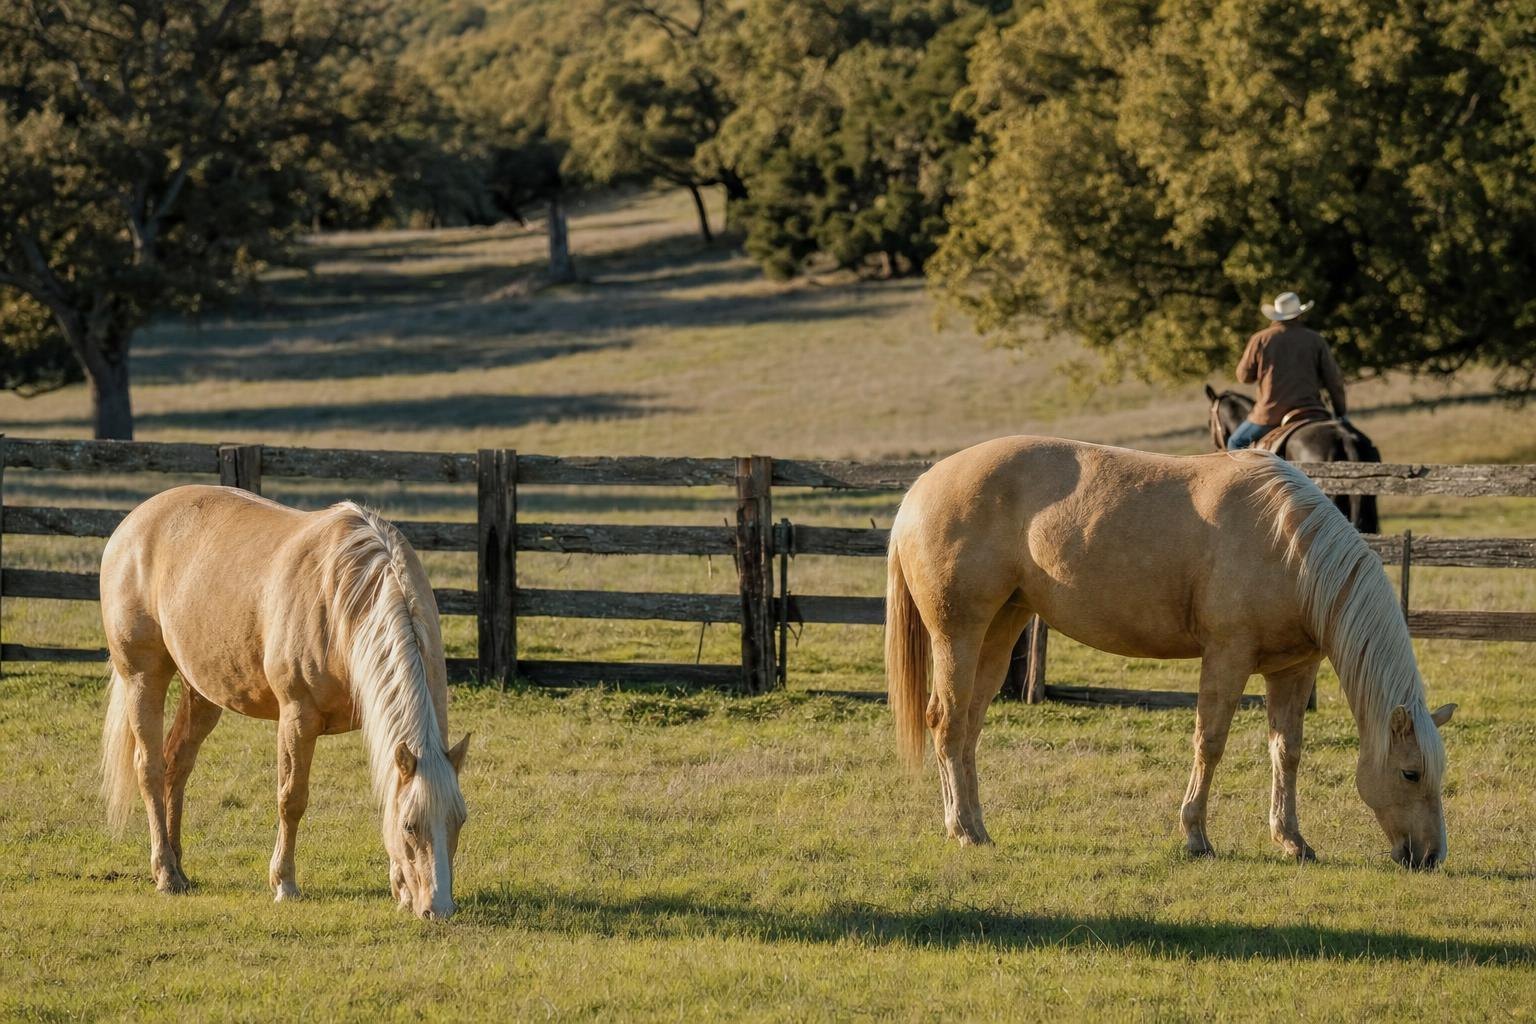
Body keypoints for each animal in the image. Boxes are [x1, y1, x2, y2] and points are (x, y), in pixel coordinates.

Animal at [99, 485, 470, 918]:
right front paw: (284, 883)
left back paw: (179, 866)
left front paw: (400, 889)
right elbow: (291, 799)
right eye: (411, 826)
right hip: (143, 678)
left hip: (201, 692)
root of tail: (133, 522)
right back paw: (165, 874)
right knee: (150, 769)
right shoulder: (296, 719)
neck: (344, 598)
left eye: (459, 820)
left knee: (178, 764)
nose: (439, 907)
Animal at [885, 436, 1455, 868]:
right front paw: (1195, 836)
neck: (1291, 548)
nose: (1430, 856)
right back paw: (962, 829)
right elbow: (1210, 742)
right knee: (946, 722)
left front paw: (1292, 841)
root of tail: (919, 492)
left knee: (968, 728)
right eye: (1410, 773)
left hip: (1000, 632)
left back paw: (976, 826)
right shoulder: (1227, 656)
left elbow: (1287, 752)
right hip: (957, 635)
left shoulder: (1293, 670)